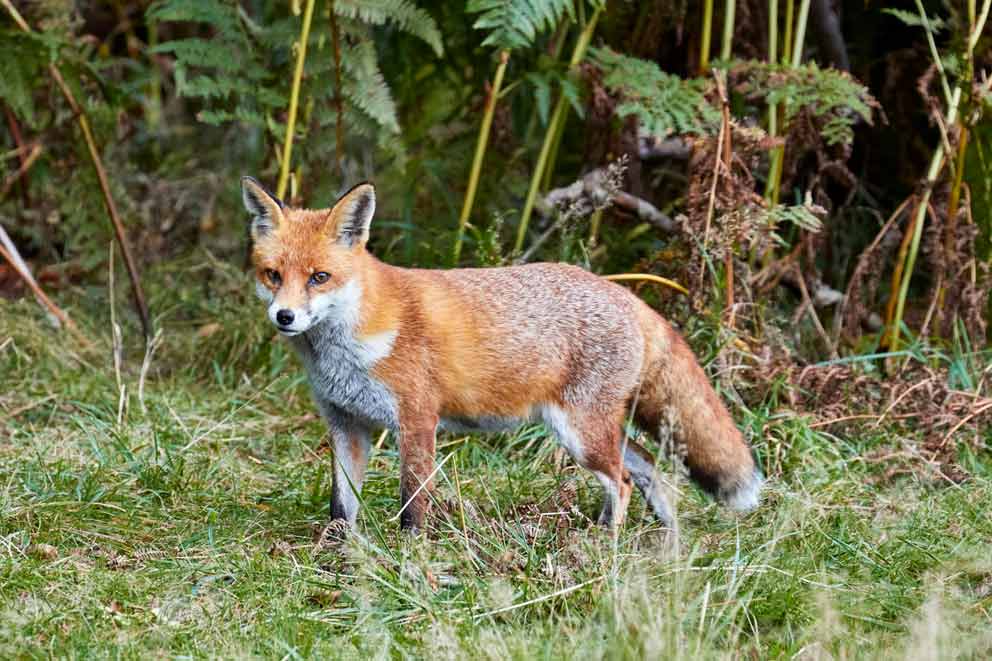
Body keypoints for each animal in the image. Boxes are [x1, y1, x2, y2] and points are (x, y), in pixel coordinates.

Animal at [241, 176, 762, 533]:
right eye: (273, 275)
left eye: (319, 277)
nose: (284, 316)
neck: (344, 351)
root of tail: (628, 296)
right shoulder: (347, 424)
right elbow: (341, 506)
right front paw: (337, 558)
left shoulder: (416, 420)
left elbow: (413, 504)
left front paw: (409, 559)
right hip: (595, 432)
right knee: (652, 471)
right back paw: (666, 549)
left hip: (580, 434)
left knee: (624, 481)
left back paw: (603, 547)